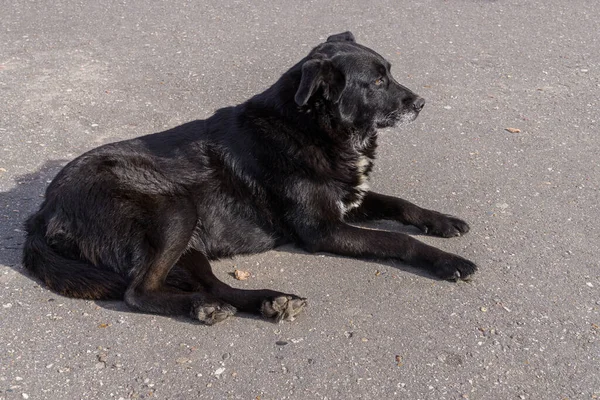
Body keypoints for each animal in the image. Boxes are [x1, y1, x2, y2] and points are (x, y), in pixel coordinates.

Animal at [21, 32, 476, 324]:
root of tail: (43, 211)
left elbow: (401, 204)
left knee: (210, 286)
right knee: (139, 292)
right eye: (377, 80)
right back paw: (204, 309)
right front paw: (447, 261)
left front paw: (443, 222)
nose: (422, 102)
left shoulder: (351, 199)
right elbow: (397, 240)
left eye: (390, 73)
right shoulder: (324, 230)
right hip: (175, 212)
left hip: (191, 243)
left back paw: (270, 302)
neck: (310, 125)